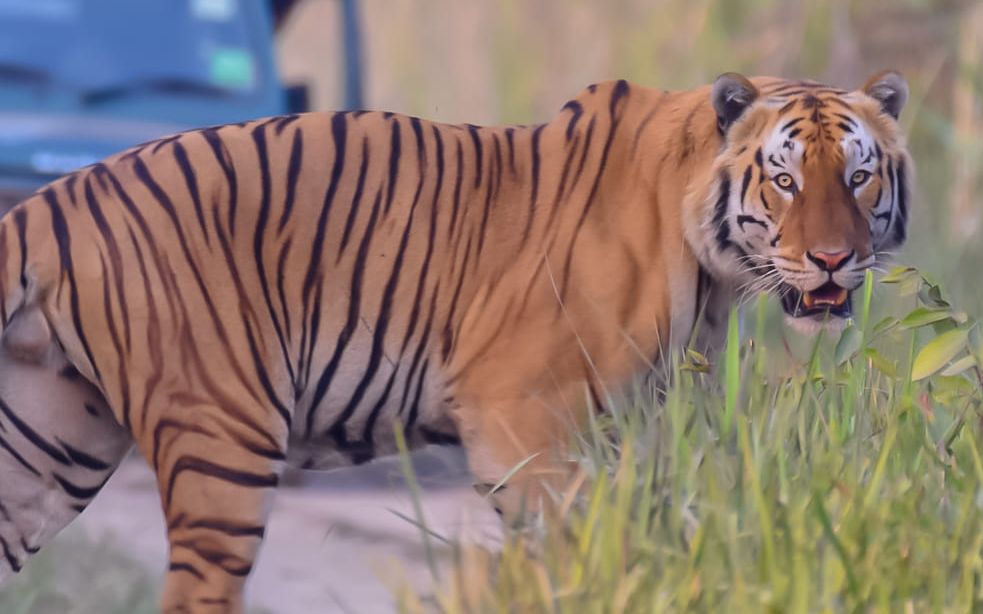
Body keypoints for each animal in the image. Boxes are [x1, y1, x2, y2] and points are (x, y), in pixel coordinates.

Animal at [0, 70, 912, 612]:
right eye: (784, 178)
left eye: (857, 175)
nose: (833, 258)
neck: (709, 268)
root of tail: (52, 199)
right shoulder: (524, 417)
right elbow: (567, 548)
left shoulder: (637, 425)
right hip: (221, 438)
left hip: (47, 445)